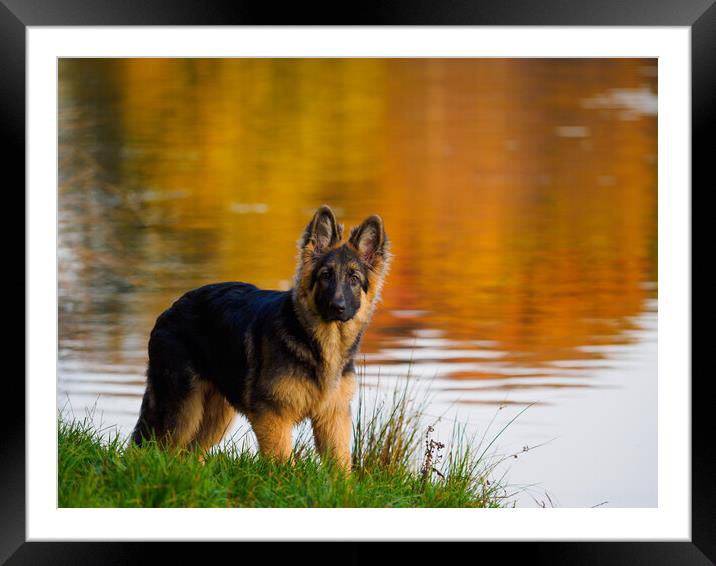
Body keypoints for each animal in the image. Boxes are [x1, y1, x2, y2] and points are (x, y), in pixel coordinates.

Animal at [131, 206, 394, 472]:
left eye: (354, 279)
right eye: (326, 276)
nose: (337, 307)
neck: (316, 343)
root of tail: (169, 310)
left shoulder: (333, 416)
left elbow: (340, 467)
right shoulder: (273, 414)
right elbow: (282, 461)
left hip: (215, 415)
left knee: (190, 453)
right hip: (182, 410)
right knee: (159, 449)